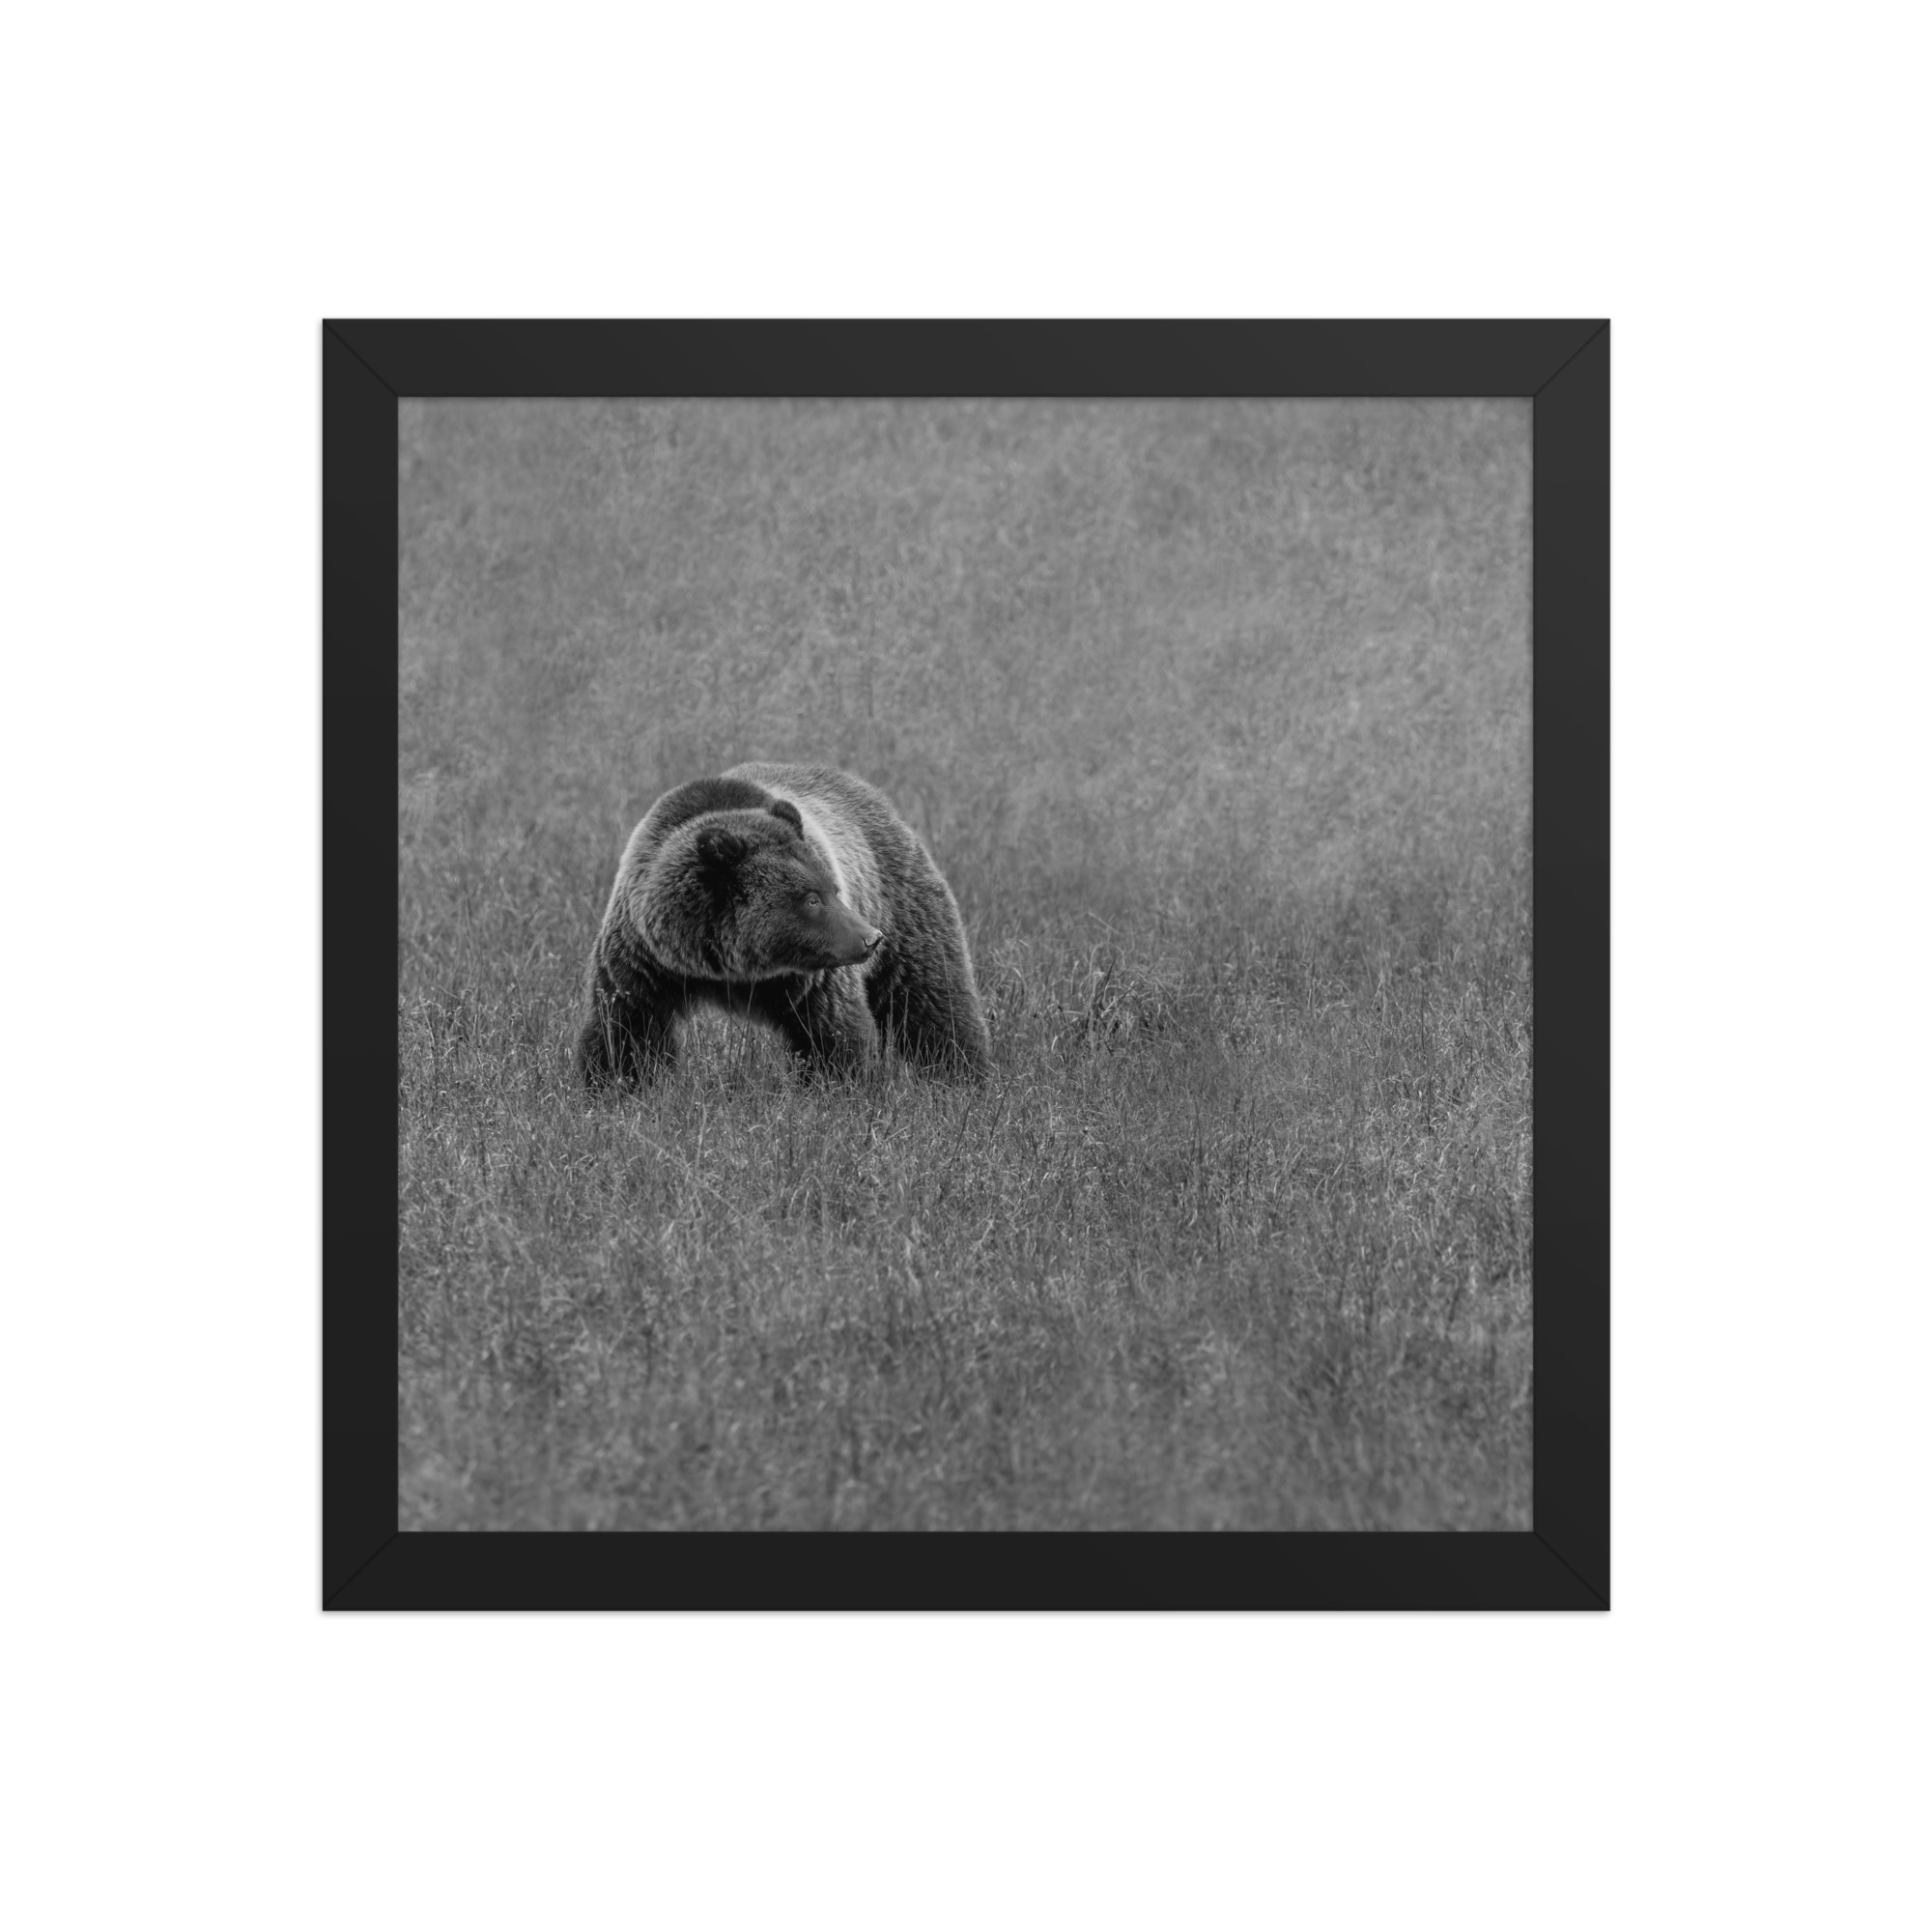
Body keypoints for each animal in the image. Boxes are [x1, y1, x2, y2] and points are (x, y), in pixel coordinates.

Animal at [576, 762, 991, 1089]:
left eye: (833, 889)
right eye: (811, 898)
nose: (870, 939)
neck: (731, 967)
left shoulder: (813, 978)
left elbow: (833, 1033)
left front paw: (842, 1089)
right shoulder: (645, 960)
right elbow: (626, 1031)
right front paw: (613, 1087)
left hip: (903, 906)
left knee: (932, 999)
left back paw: (965, 1077)